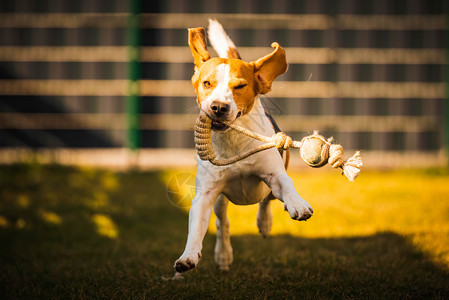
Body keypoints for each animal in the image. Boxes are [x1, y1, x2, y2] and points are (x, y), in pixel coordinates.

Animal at [175, 19, 312, 274]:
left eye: (239, 86)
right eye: (207, 83)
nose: (218, 107)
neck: (233, 141)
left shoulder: (275, 174)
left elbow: (286, 187)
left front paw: (297, 205)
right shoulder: (205, 195)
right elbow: (196, 229)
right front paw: (187, 257)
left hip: (272, 182)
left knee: (267, 201)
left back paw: (265, 223)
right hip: (220, 202)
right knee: (223, 223)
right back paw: (223, 255)